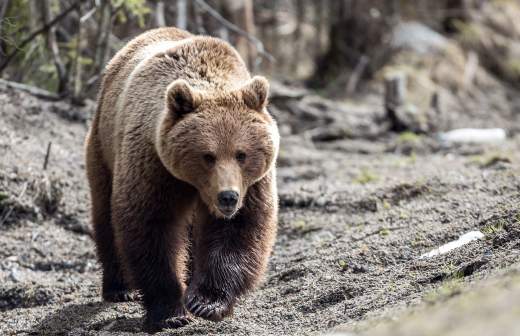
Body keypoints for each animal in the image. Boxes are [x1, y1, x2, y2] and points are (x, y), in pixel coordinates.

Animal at [85, 26, 280, 330]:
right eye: (208, 155)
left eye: (242, 154)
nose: (228, 197)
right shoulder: (154, 165)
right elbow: (151, 226)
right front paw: (170, 311)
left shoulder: (253, 184)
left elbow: (240, 228)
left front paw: (206, 301)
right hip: (103, 146)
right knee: (105, 212)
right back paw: (120, 288)